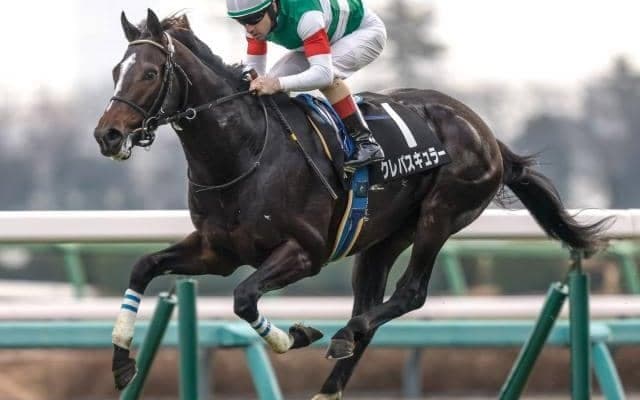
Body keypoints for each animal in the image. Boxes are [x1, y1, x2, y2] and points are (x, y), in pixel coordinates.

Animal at [93, 9, 610, 399]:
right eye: (116, 71)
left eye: (150, 73)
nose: (108, 135)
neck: (244, 152)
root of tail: (483, 131)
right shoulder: (216, 251)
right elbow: (143, 266)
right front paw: (121, 361)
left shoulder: (305, 252)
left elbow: (243, 299)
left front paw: (298, 334)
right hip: (382, 238)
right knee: (371, 308)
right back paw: (330, 383)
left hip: (441, 213)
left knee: (408, 294)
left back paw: (342, 334)